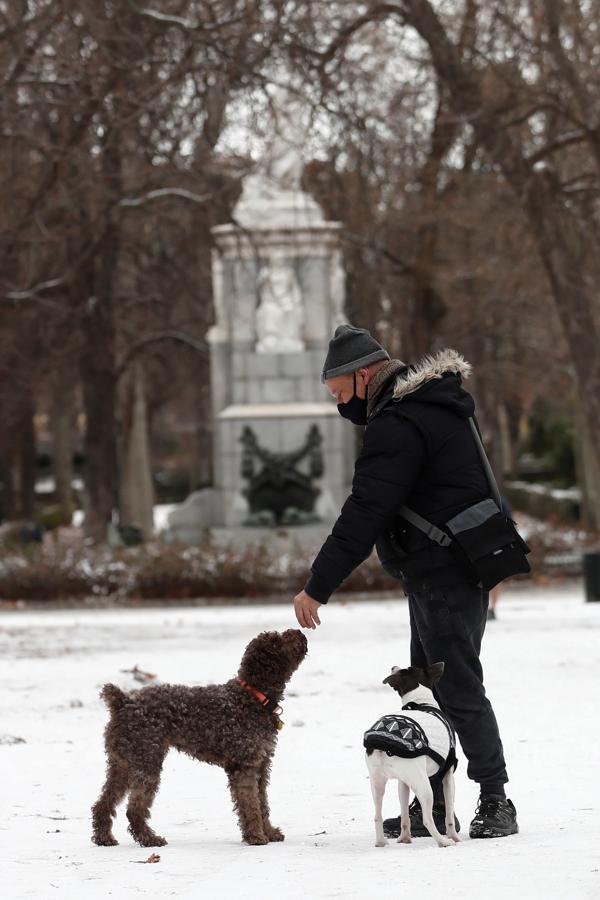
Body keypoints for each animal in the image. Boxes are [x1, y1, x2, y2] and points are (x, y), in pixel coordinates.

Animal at [94, 628, 310, 848]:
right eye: (276, 641)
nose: (299, 631)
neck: (253, 696)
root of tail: (124, 702)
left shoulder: (262, 765)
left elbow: (263, 803)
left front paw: (269, 832)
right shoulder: (245, 766)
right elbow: (251, 804)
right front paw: (256, 836)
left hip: (123, 763)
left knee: (103, 802)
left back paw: (104, 837)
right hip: (146, 762)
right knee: (134, 809)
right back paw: (149, 838)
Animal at [364, 664, 462, 848]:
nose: (393, 666)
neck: (421, 702)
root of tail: (384, 746)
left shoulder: (403, 782)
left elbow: (404, 815)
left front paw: (404, 838)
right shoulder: (448, 776)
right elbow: (449, 813)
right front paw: (455, 837)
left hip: (377, 782)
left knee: (377, 816)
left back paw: (381, 842)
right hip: (424, 786)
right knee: (427, 820)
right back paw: (443, 841)